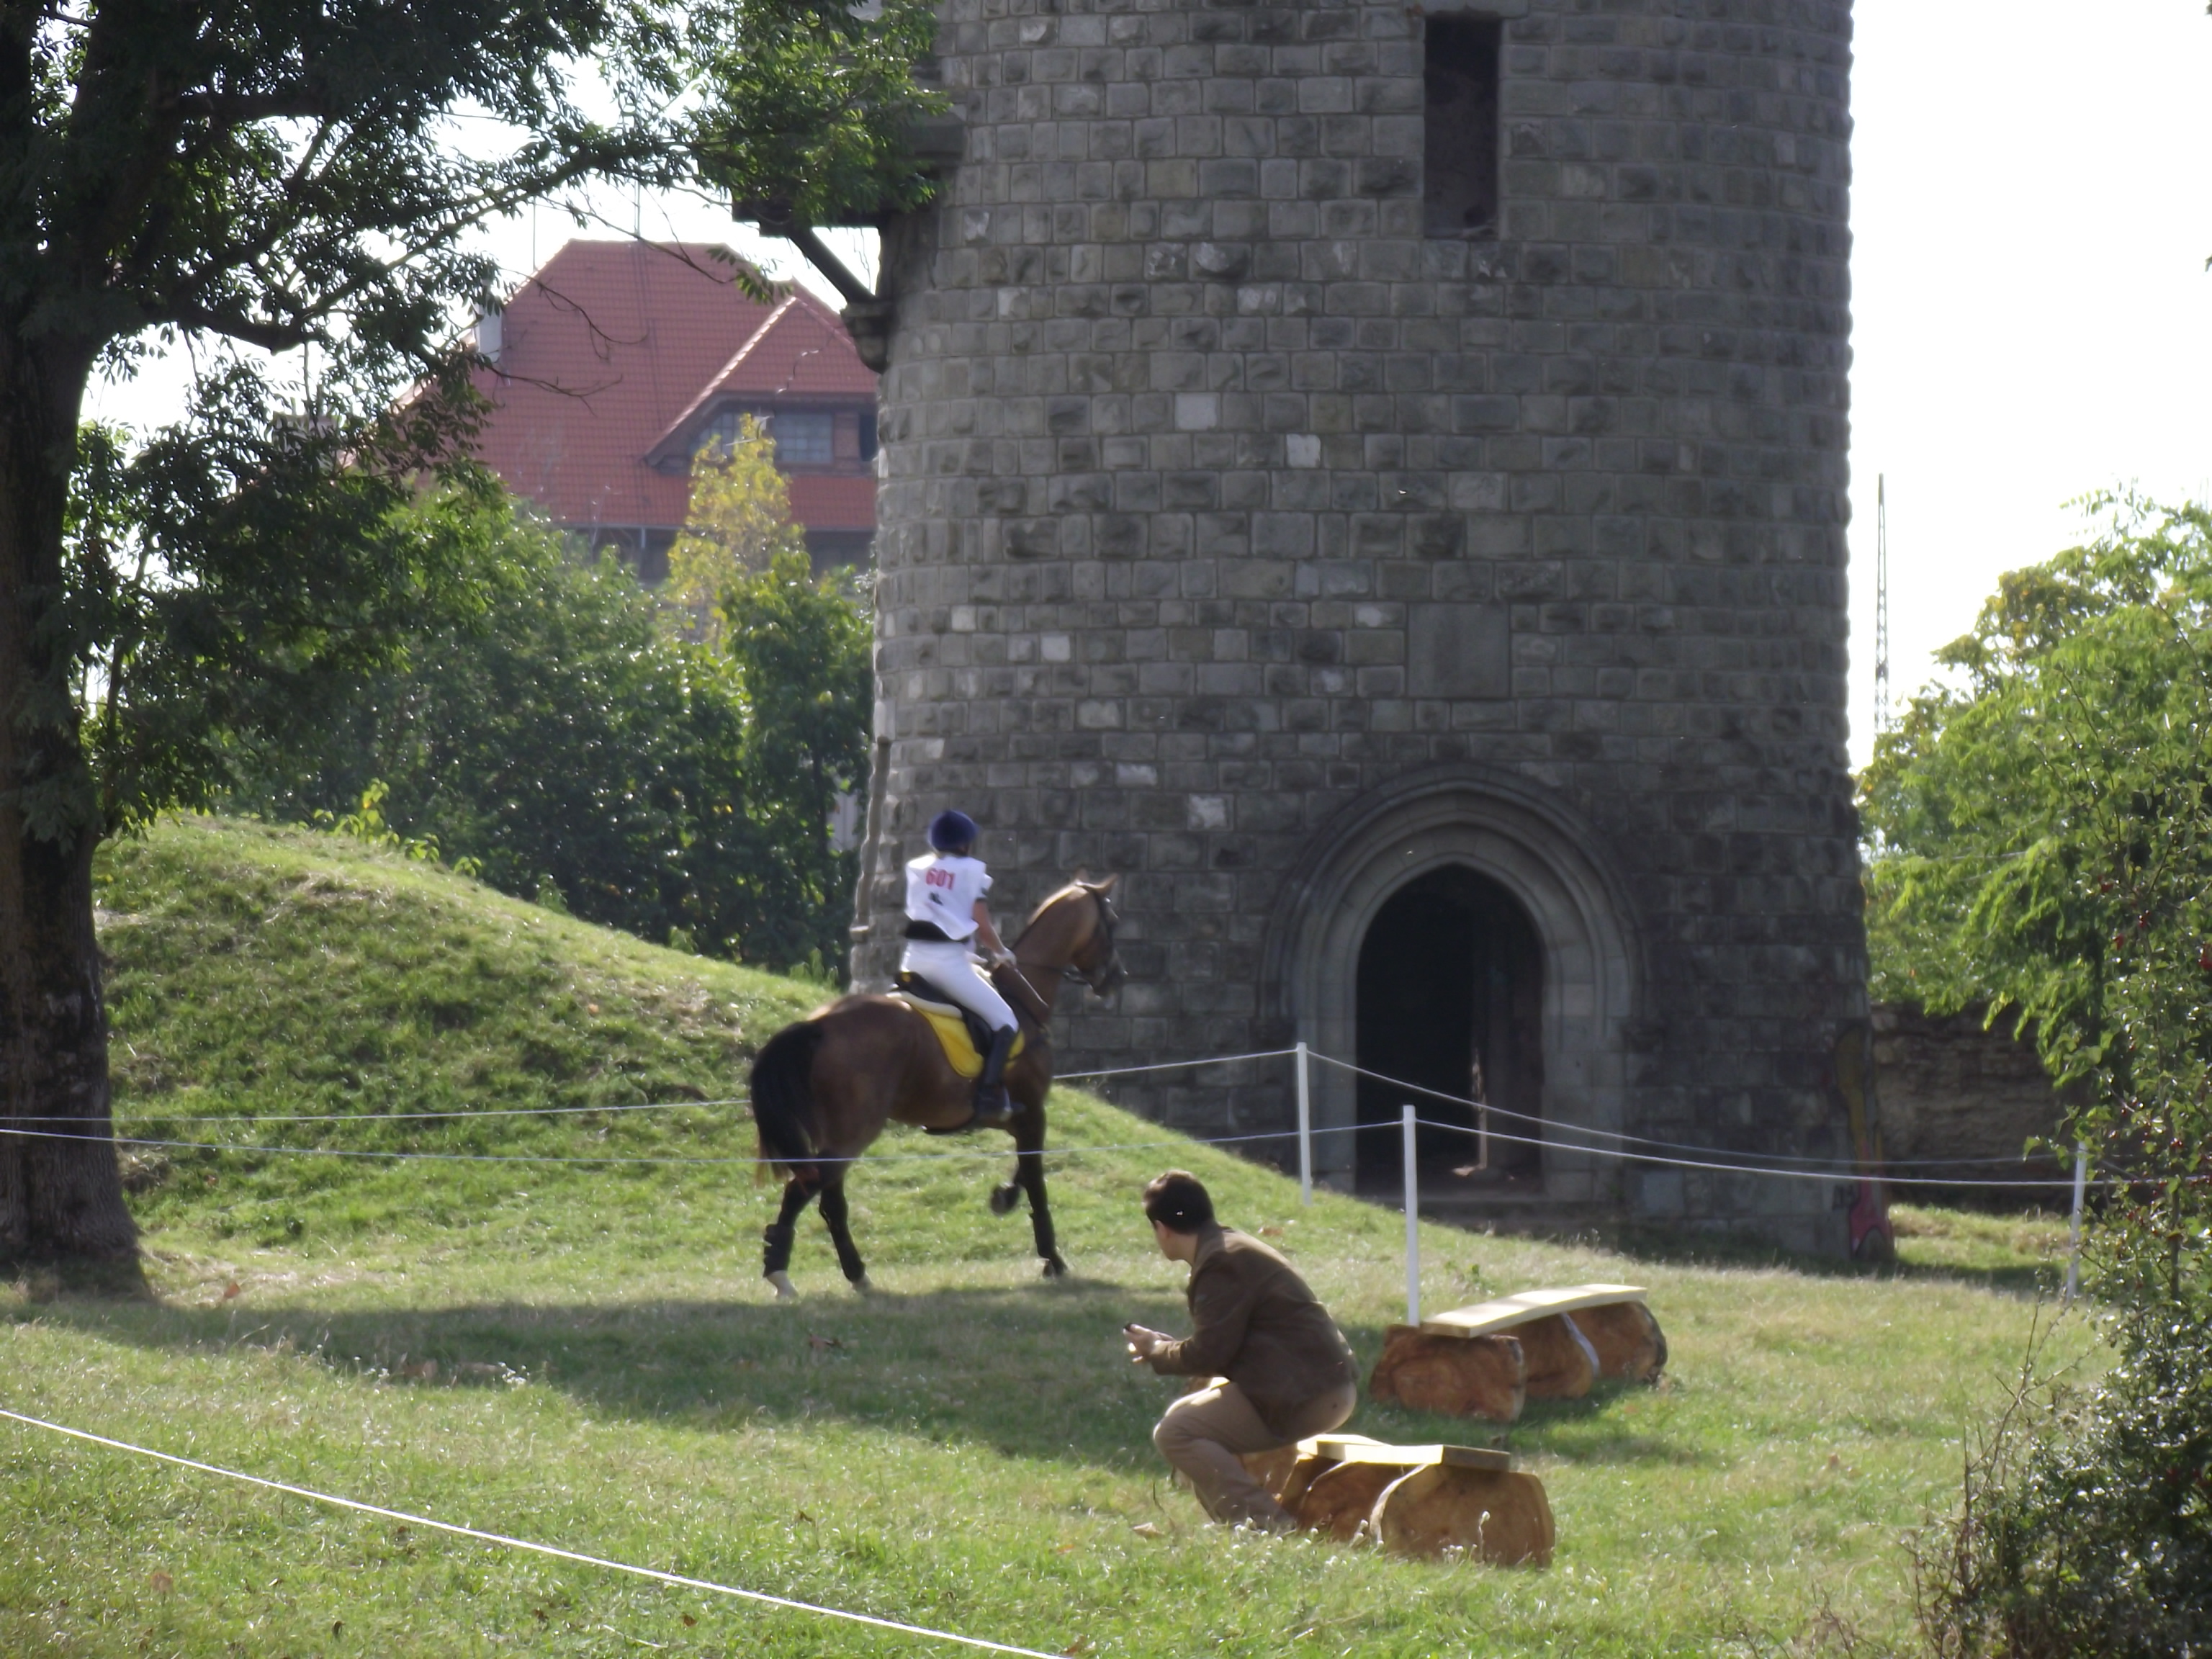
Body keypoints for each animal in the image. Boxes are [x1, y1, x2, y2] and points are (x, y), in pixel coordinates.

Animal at [752, 876, 1123, 1309]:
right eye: (1113, 923)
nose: (1115, 979)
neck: (1022, 995)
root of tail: (821, 1025)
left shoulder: (1014, 1115)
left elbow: (1024, 1170)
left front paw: (1003, 1198)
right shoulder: (1033, 1110)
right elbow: (1036, 1180)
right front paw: (1053, 1259)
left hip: (840, 1134)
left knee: (829, 1200)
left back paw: (858, 1276)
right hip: (854, 1133)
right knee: (803, 1189)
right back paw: (780, 1273)